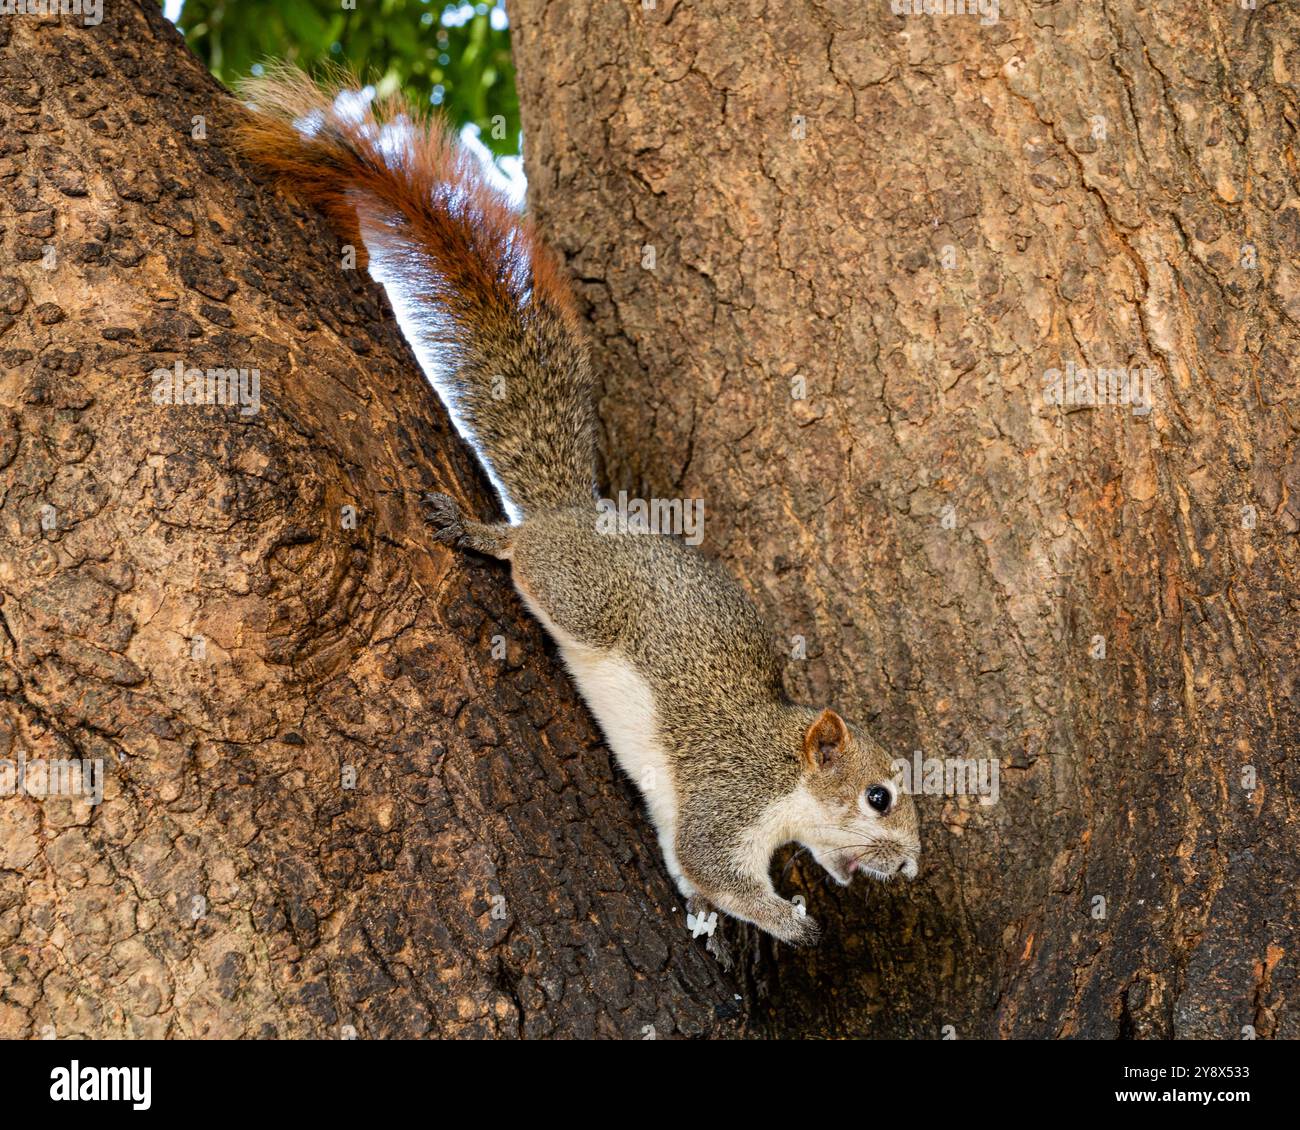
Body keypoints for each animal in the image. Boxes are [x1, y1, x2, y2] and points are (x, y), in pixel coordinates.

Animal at [235, 67, 920, 945]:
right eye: (878, 796)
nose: (911, 865)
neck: (784, 768)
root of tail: (576, 514)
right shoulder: (729, 795)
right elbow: (712, 862)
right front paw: (788, 923)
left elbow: (690, 871)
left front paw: (717, 924)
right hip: (577, 591)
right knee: (530, 559)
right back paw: (489, 535)